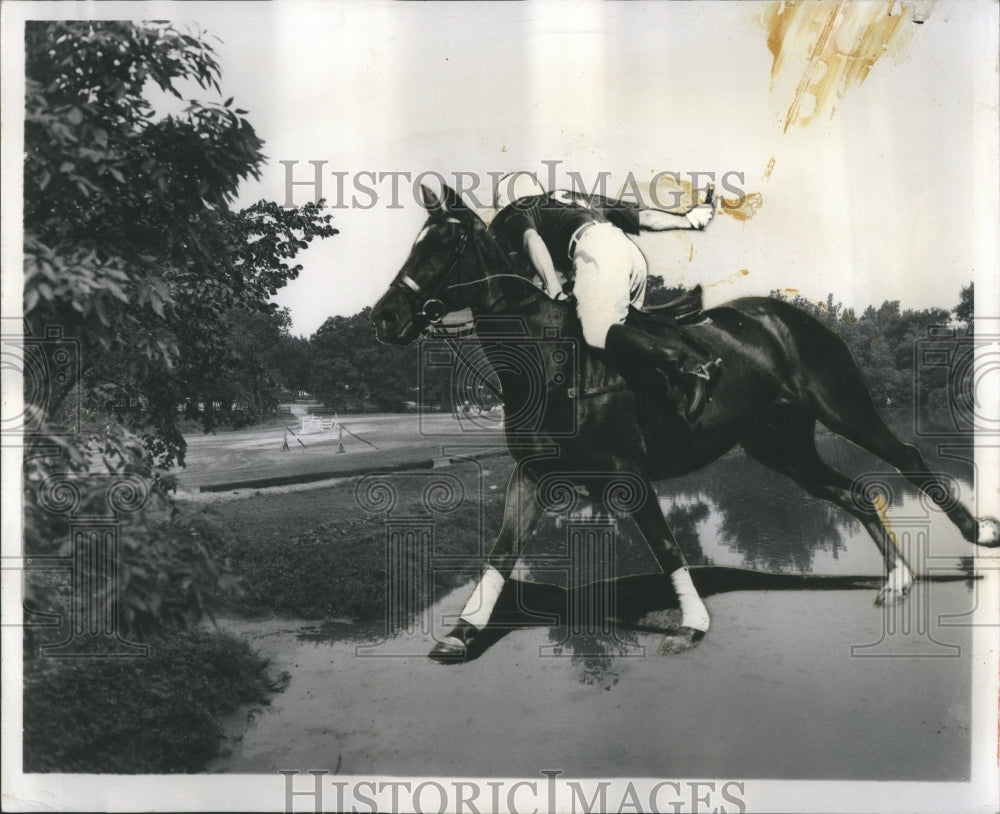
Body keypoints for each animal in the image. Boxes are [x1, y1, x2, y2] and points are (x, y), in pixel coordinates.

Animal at [372, 185, 996, 664]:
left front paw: (692, 623)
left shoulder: (628, 475)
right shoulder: (532, 475)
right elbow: (500, 553)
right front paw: (463, 632)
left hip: (844, 408)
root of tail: (796, 317)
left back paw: (977, 534)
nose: (385, 317)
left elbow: (667, 546)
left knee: (907, 459)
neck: (547, 361)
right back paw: (896, 579)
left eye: (444, 244)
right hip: (782, 447)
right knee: (856, 492)